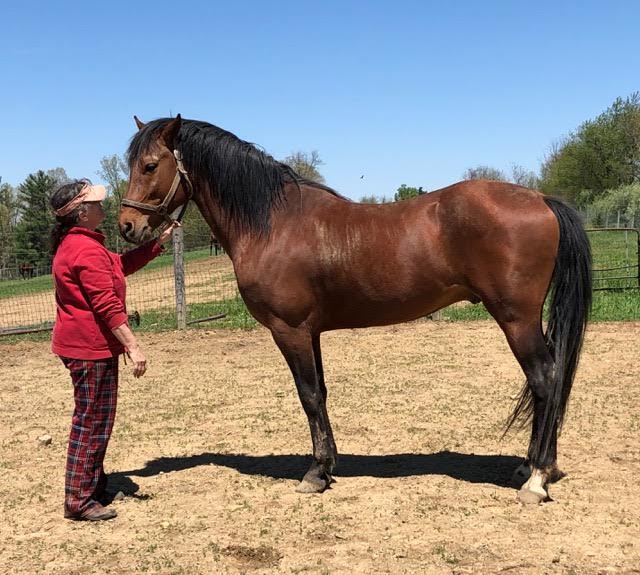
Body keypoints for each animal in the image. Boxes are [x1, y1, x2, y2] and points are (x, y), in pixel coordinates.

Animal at [119, 115, 592, 504]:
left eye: (149, 166)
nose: (127, 226)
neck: (272, 223)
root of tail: (542, 199)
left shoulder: (289, 330)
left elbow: (308, 395)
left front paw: (314, 473)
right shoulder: (310, 332)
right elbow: (321, 394)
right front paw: (328, 465)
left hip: (517, 319)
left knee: (545, 379)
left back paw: (536, 479)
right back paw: (532, 468)